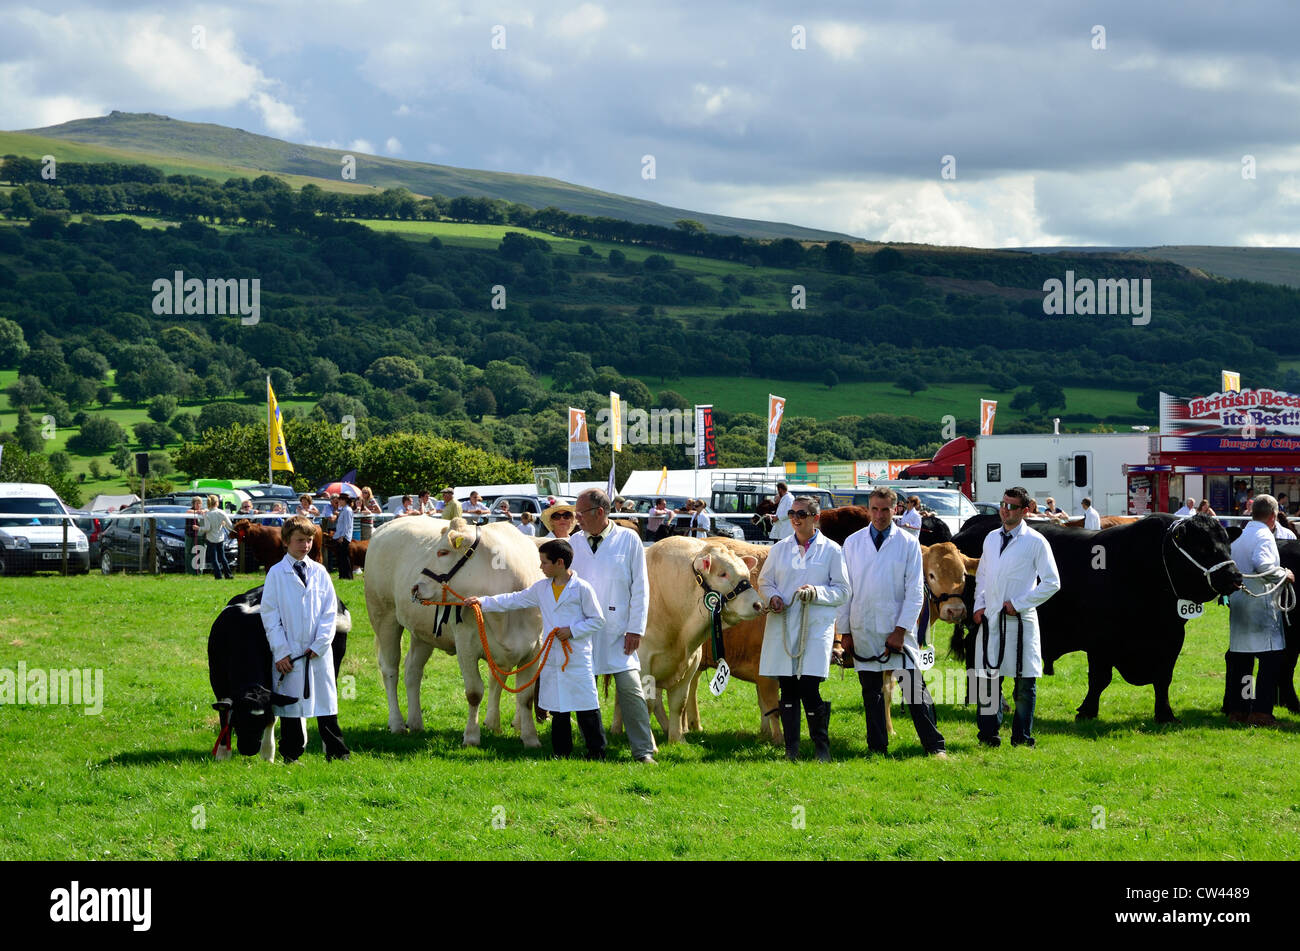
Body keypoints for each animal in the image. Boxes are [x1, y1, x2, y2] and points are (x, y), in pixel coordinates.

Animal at [208, 582, 351, 753]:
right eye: (239, 718)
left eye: (261, 722)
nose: (249, 749)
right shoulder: (217, 679)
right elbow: (224, 715)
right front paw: (222, 753)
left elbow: (273, 716)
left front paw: (267, 752)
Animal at [366, 517, 548, 748]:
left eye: (443, 552)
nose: (415, 587)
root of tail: (387, 526)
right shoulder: (466, 644)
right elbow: (474, 692)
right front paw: (471, 736)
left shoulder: (534, 649)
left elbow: (525, 696)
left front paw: (531, 738)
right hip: (383, 616)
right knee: (390, 670)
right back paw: (397, 723)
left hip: (422, 633)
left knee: (413, 670)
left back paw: (415, 722)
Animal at [951, 511, 1242, 722]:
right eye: (1202, 547)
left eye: (1228, 545)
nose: (1235, 576)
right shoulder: (1100, 640)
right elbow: (1100, 679)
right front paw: (1088, 710)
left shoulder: (1171, 639)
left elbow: (1163, 679)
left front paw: (1165, 714)